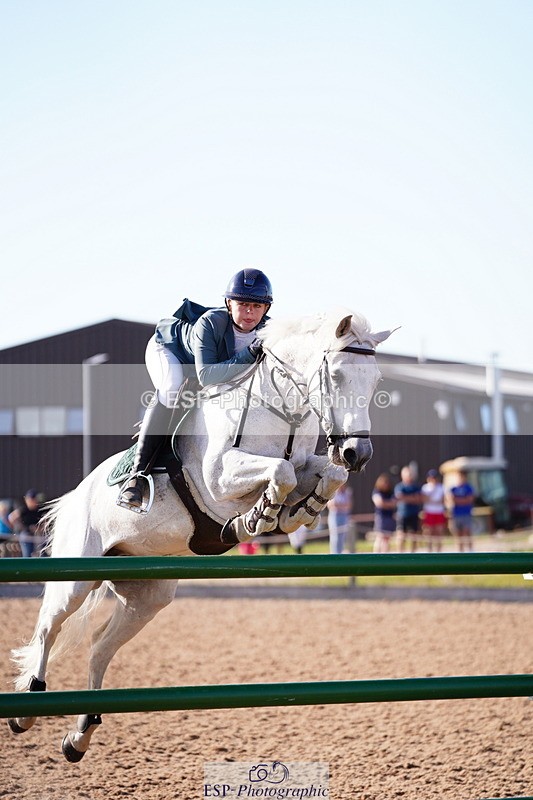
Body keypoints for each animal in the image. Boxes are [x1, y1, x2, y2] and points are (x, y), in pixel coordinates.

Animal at [8, 308, 393, 761]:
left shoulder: (306, 466)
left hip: (148, 596)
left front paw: (298, 512)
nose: (357, 454)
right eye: (335, 374)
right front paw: (257, 518)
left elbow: (324, 476)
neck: (282, 411)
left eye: (376, 381)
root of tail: (75, 494)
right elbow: (277, 473)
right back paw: (26, 709)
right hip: (77, 574)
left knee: (100, 646)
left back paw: (79, 735)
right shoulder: (219, 478)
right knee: (48, 628)